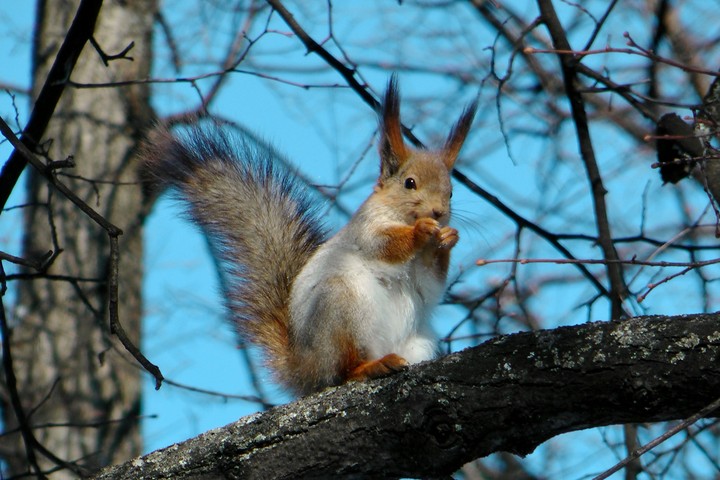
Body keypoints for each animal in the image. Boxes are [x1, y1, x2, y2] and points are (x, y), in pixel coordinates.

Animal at [141, 76, 477, 396]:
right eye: (410, 183)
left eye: (450, 192)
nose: (438, 213)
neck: (399, 217)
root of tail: (307, 369)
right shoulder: (365, 230)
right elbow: (384, 246)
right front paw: (422, 231)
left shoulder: (423, 276)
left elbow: (430, 285)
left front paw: (448, 239)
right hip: (340, 308)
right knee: (342, 372)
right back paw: (370, 367)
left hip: (418, 340)